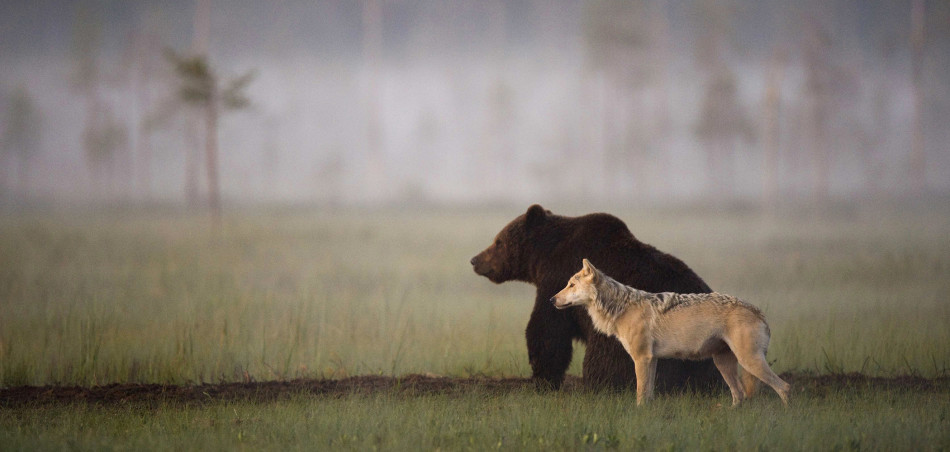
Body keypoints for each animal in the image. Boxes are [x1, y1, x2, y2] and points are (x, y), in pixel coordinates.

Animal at [472, 205, 724, 392]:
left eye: (498, 242)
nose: (475, 260)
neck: (544, 256)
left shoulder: (556, 280)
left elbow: (547, 330)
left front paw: (542, 378)